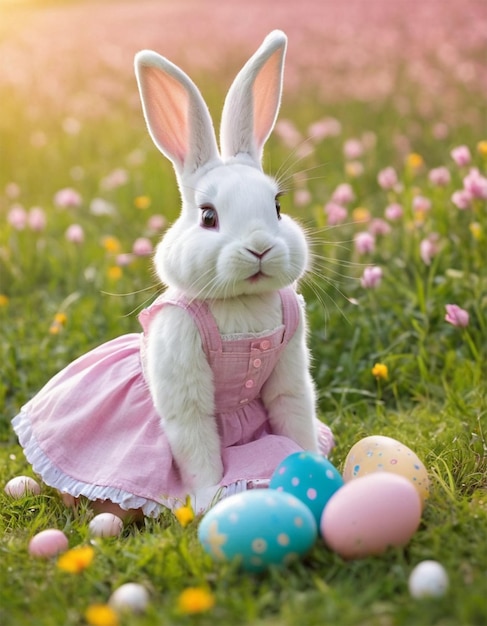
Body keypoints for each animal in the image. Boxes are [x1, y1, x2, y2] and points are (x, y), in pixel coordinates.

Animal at [11, 30, 334, 516]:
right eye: (208, 216)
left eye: (277, 207)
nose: (260, 247)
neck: (239, 304)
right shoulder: (183, 374)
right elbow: (195, 434)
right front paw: (208, 498)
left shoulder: (290, 371)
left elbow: (294, 413)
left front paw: (313, 465)